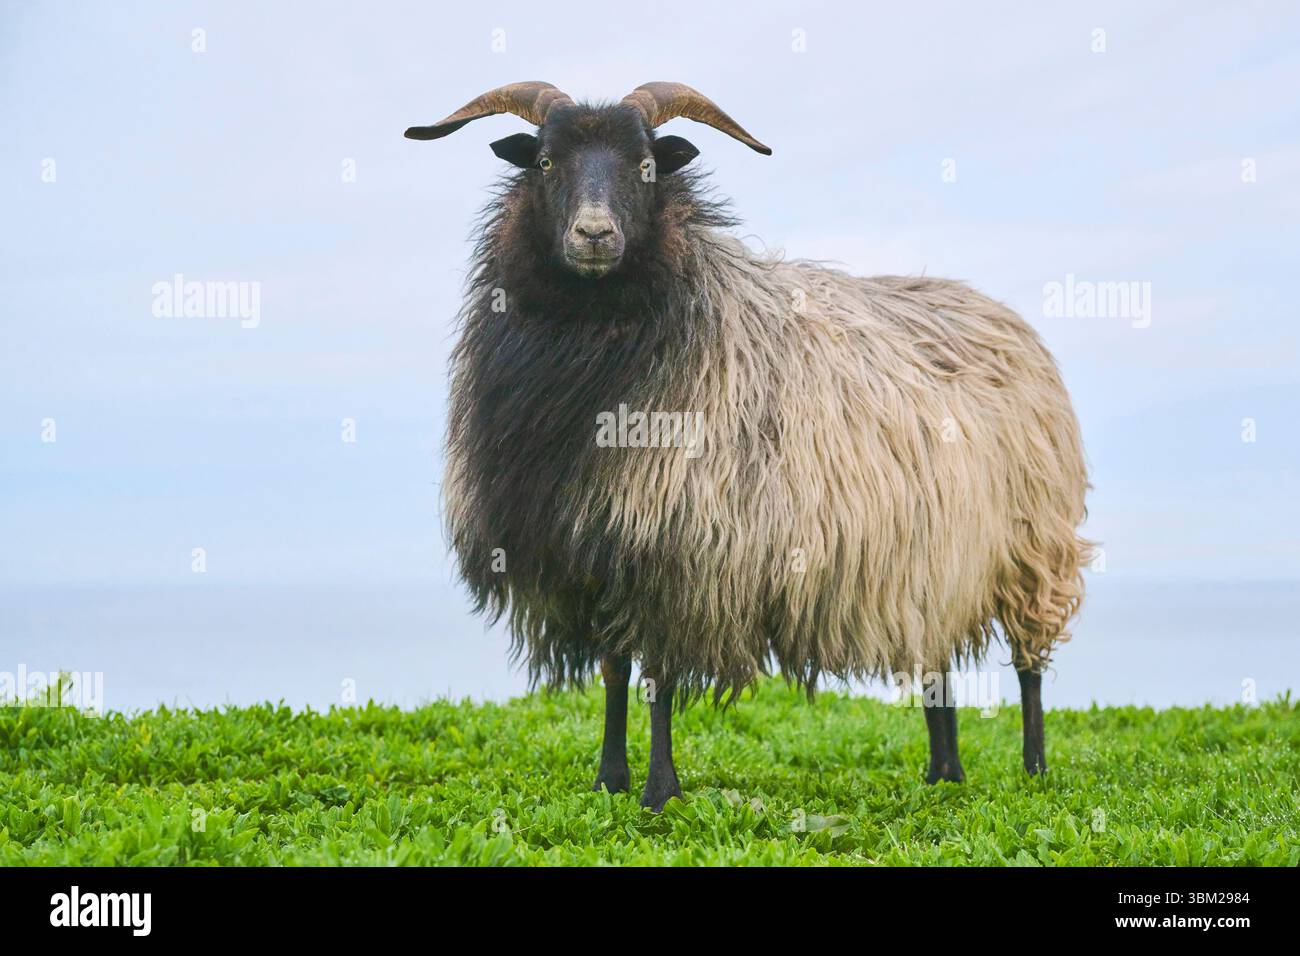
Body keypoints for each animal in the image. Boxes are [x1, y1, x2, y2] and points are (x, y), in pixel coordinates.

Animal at [406, 81, 1092, 810]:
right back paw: (944, 773)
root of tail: (1001, 315)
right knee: (936, 662)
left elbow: (658, 678)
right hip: (935, 556)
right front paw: (609, 781)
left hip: (1030, 548)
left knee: (1029, 665)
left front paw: (659, 791)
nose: (594, 234)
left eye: (646, 165)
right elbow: (616, 673)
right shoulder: (596, 551)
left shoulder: (682, 552)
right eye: (544, 162)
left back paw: (1034, 769)